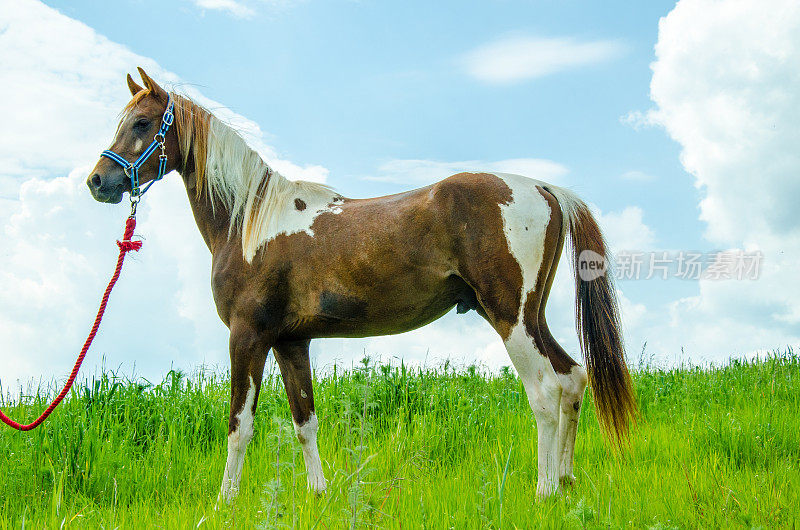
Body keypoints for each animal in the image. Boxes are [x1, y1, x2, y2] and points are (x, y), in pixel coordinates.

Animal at [87, 68, 636, 502]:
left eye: (141, 123)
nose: (97, 181)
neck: (248, 223)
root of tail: (544, 188)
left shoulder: (247, 336)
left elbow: (239, 426)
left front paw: (225, 502)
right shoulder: (291, 342)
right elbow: (304, 420)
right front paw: (318, 494)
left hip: (512, 319)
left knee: (545, 391)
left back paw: (544, 491)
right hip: (530, 316)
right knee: (573, 379)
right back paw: (564, 481)